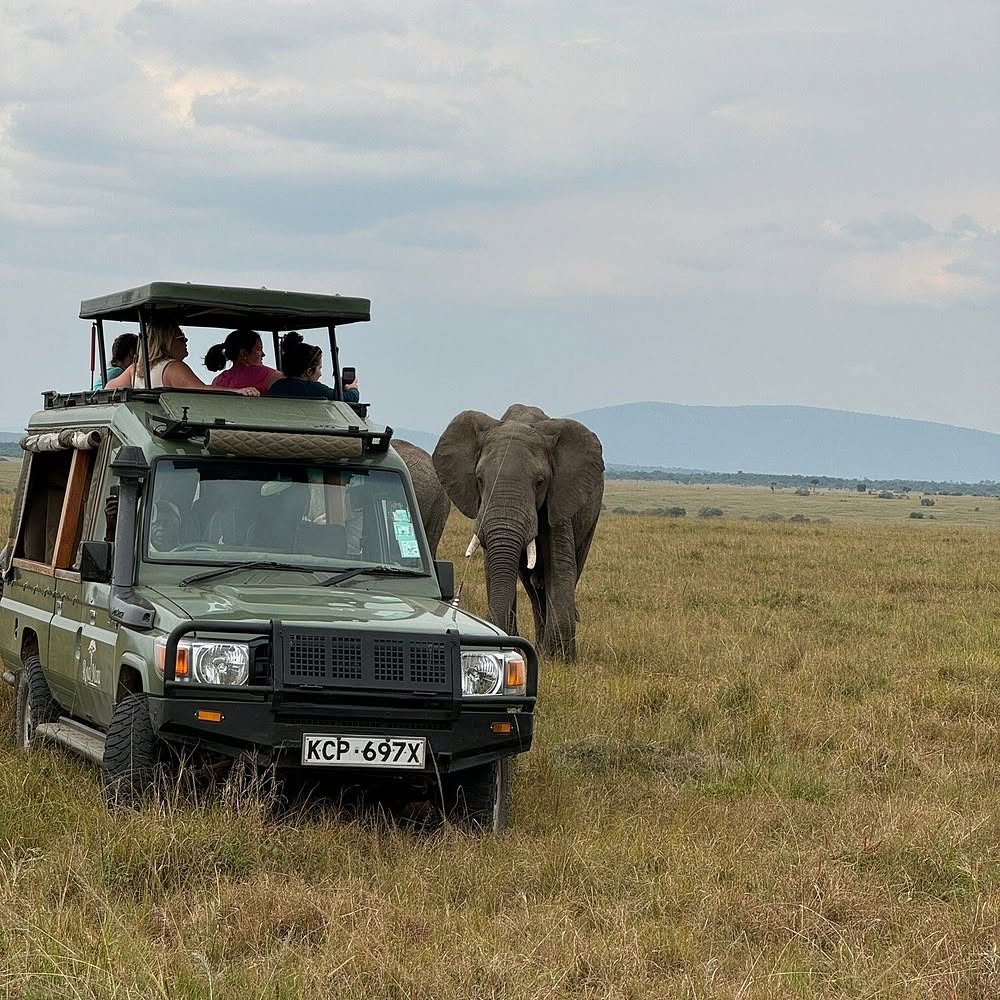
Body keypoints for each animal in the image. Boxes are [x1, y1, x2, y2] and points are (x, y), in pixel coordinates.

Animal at [433, 404, 604, 661]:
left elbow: (560, 566)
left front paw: (561, 660)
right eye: (480, 480)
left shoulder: (559, 499)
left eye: (540, 482)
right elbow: (494, 568)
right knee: (533, 588)